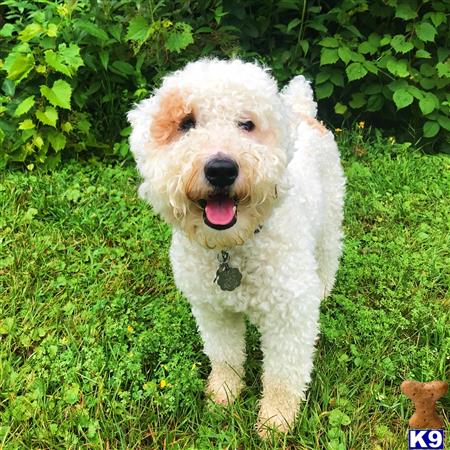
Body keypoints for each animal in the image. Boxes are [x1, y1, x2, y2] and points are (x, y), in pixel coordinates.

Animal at [128, 58, 346, 434]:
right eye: (186, 123)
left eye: (247, 124)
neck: (232, 246)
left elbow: (283, 376)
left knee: (329, 252)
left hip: (331, 216)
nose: (221, 169)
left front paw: (275, 422)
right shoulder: (212, 309)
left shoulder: (290, 316)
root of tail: (302, 111)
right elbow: (225, 356)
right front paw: (223, 396)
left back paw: (324, 287)